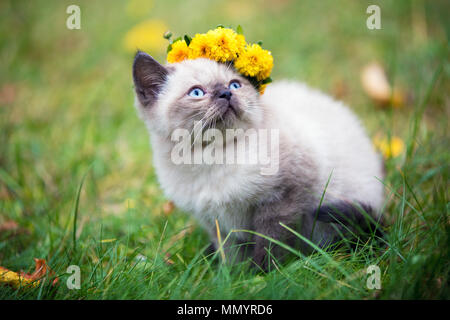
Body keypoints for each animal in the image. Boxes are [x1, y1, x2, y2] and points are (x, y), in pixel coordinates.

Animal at [132, 52, 384, 270]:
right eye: (196, 93)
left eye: (234, 85)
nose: (226, 94)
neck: (211, 157)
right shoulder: (218, 223)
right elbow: (231, 256)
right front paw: (232, 278)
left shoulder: (281, 199)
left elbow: (270, 246)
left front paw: (260, 277)